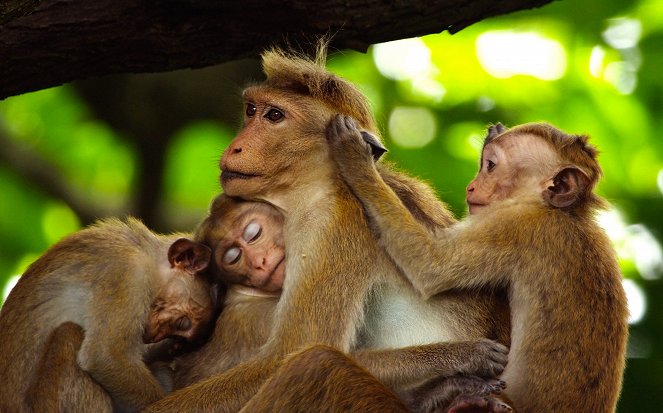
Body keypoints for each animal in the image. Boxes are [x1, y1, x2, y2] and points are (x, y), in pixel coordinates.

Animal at [0, 217, 217, 410]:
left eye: (179, 334)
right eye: (182, 323)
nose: (155, 336)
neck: (145, 253)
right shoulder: (127, 273)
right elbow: (105, 355)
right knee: (69, 334)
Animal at [330, 116, 632, 412]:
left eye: (491, 166)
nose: (471, 187)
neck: (566, 213)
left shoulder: (515, 225)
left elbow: (431, 266)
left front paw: (355, 158)